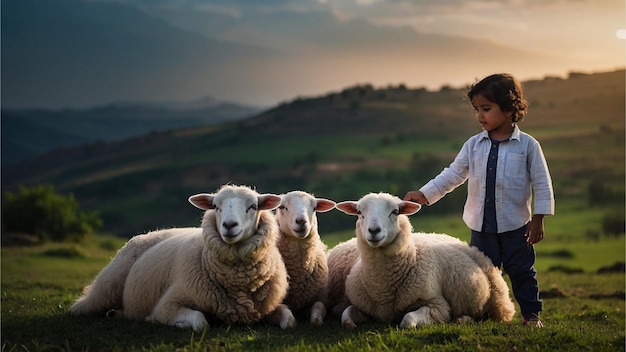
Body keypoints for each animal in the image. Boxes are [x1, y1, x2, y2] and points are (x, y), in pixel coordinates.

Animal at [69, 186, 294, 332]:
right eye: (216, 206)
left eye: (253, 206)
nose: (229, 225)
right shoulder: (168, 304)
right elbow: (200, 322)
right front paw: (161, 321)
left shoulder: (267, 306)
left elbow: (290, 320)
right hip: (108, 284)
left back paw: (117, 314)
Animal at [276, 191, 336, 326]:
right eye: (282, 207)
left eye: (314, 208)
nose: (301, 221)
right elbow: (283, 310)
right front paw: (289, 322)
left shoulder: (317, 297)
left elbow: (319, 306)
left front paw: (316, 320)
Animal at [332, 191, 512, 328]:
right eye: (359, 213)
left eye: (395, 212)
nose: (374, 230)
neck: (383, 290)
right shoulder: (363, 306)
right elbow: (345, 317)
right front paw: (352, 324)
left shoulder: (438, 306)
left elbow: (408, 320)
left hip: (498, 300)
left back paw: (463, 319)